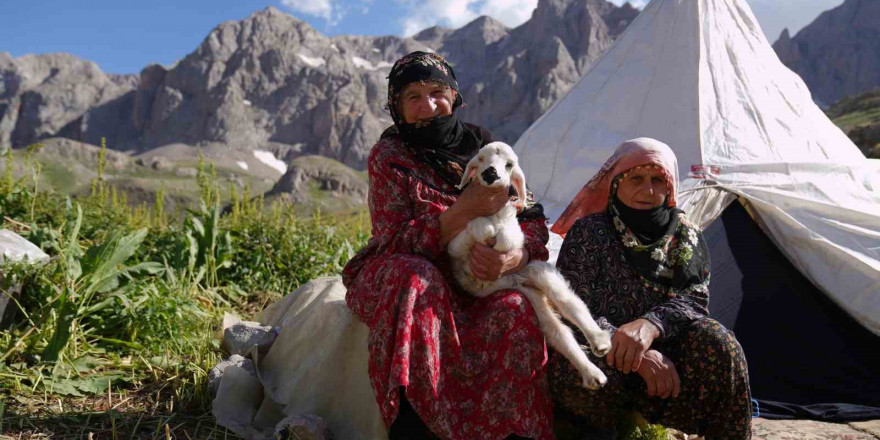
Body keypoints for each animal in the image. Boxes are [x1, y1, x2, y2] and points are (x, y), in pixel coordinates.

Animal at [450, 141, 608, 388]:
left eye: (509, 165)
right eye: (482, 159)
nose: (490, 173)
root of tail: (520, 279)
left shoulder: (515, 236)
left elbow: (508, 238)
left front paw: (496, 236)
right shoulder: (454, 245)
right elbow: (475, 229)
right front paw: (485, 229)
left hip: (537, 270)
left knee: (570, 303)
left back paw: (600, 342)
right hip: (529, 295)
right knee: (557, 331)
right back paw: (593, 375)